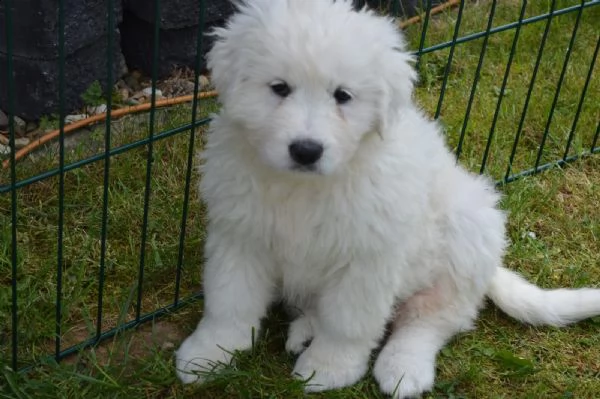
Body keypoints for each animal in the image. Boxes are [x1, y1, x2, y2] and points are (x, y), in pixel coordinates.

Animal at [177, 1, 600, 398]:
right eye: (279, 88)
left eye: (343, 96)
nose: (306, 150)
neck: (306, 187)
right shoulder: (240, 235)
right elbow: (229, 302)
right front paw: (207, 354)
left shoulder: (369, 258)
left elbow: (348, 323)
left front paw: (327, 370)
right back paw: (306, 329)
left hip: (466, 230)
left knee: (431, 319)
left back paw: (403, 368)